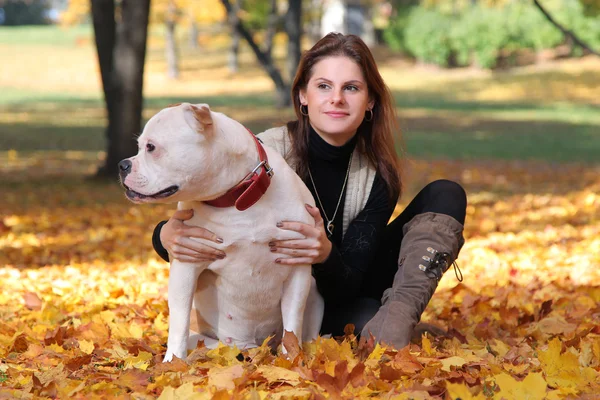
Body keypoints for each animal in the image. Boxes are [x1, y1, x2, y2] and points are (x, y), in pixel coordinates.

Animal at [118, 101, 324, 360]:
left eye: (151, 147)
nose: (122, 165)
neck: (236, 201)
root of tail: (250, 345)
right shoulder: (186, 267)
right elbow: (179, 321)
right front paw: (173, 362)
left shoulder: (297, 268)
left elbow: (292, 325)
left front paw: (291, 359)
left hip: (315, 292)